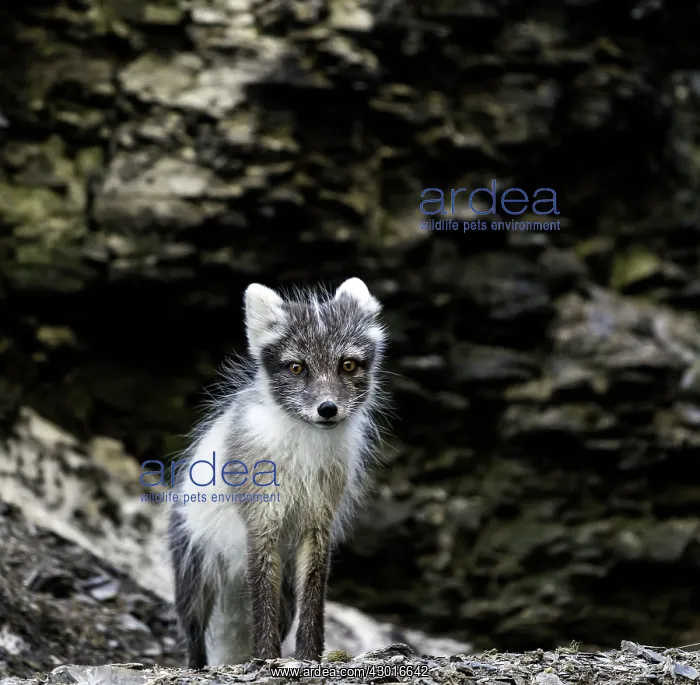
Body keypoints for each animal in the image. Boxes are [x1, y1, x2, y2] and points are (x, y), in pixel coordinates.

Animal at [167, 277, 388, 668]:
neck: (304, 452)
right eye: (297, 368)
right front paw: (266, 659)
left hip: (285, 596)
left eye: (347, 365)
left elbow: (314, 601)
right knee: (194, 644)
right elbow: (262, 602)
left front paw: (309, 658)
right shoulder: (262, 524)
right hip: (196, 584)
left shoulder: (317, 523)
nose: (327, 409)